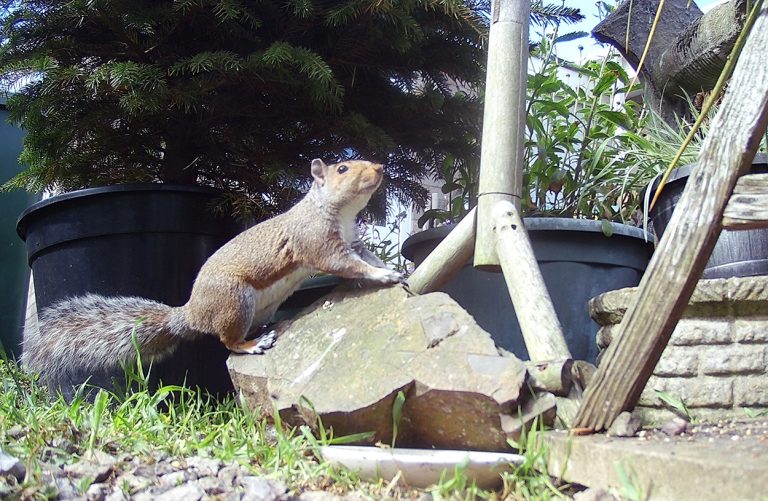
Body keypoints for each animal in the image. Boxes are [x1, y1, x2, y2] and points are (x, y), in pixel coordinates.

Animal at [22, 159, 403, 392]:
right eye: (343, 168)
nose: (380, 167)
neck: (337, 212)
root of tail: (191, 315)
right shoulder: (317, 243)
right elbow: (345, 264)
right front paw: (382, 276)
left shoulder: (352, 242)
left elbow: (365, 257)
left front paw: (390, 268)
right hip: (235, 300)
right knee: (228, 343)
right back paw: (253, 344)